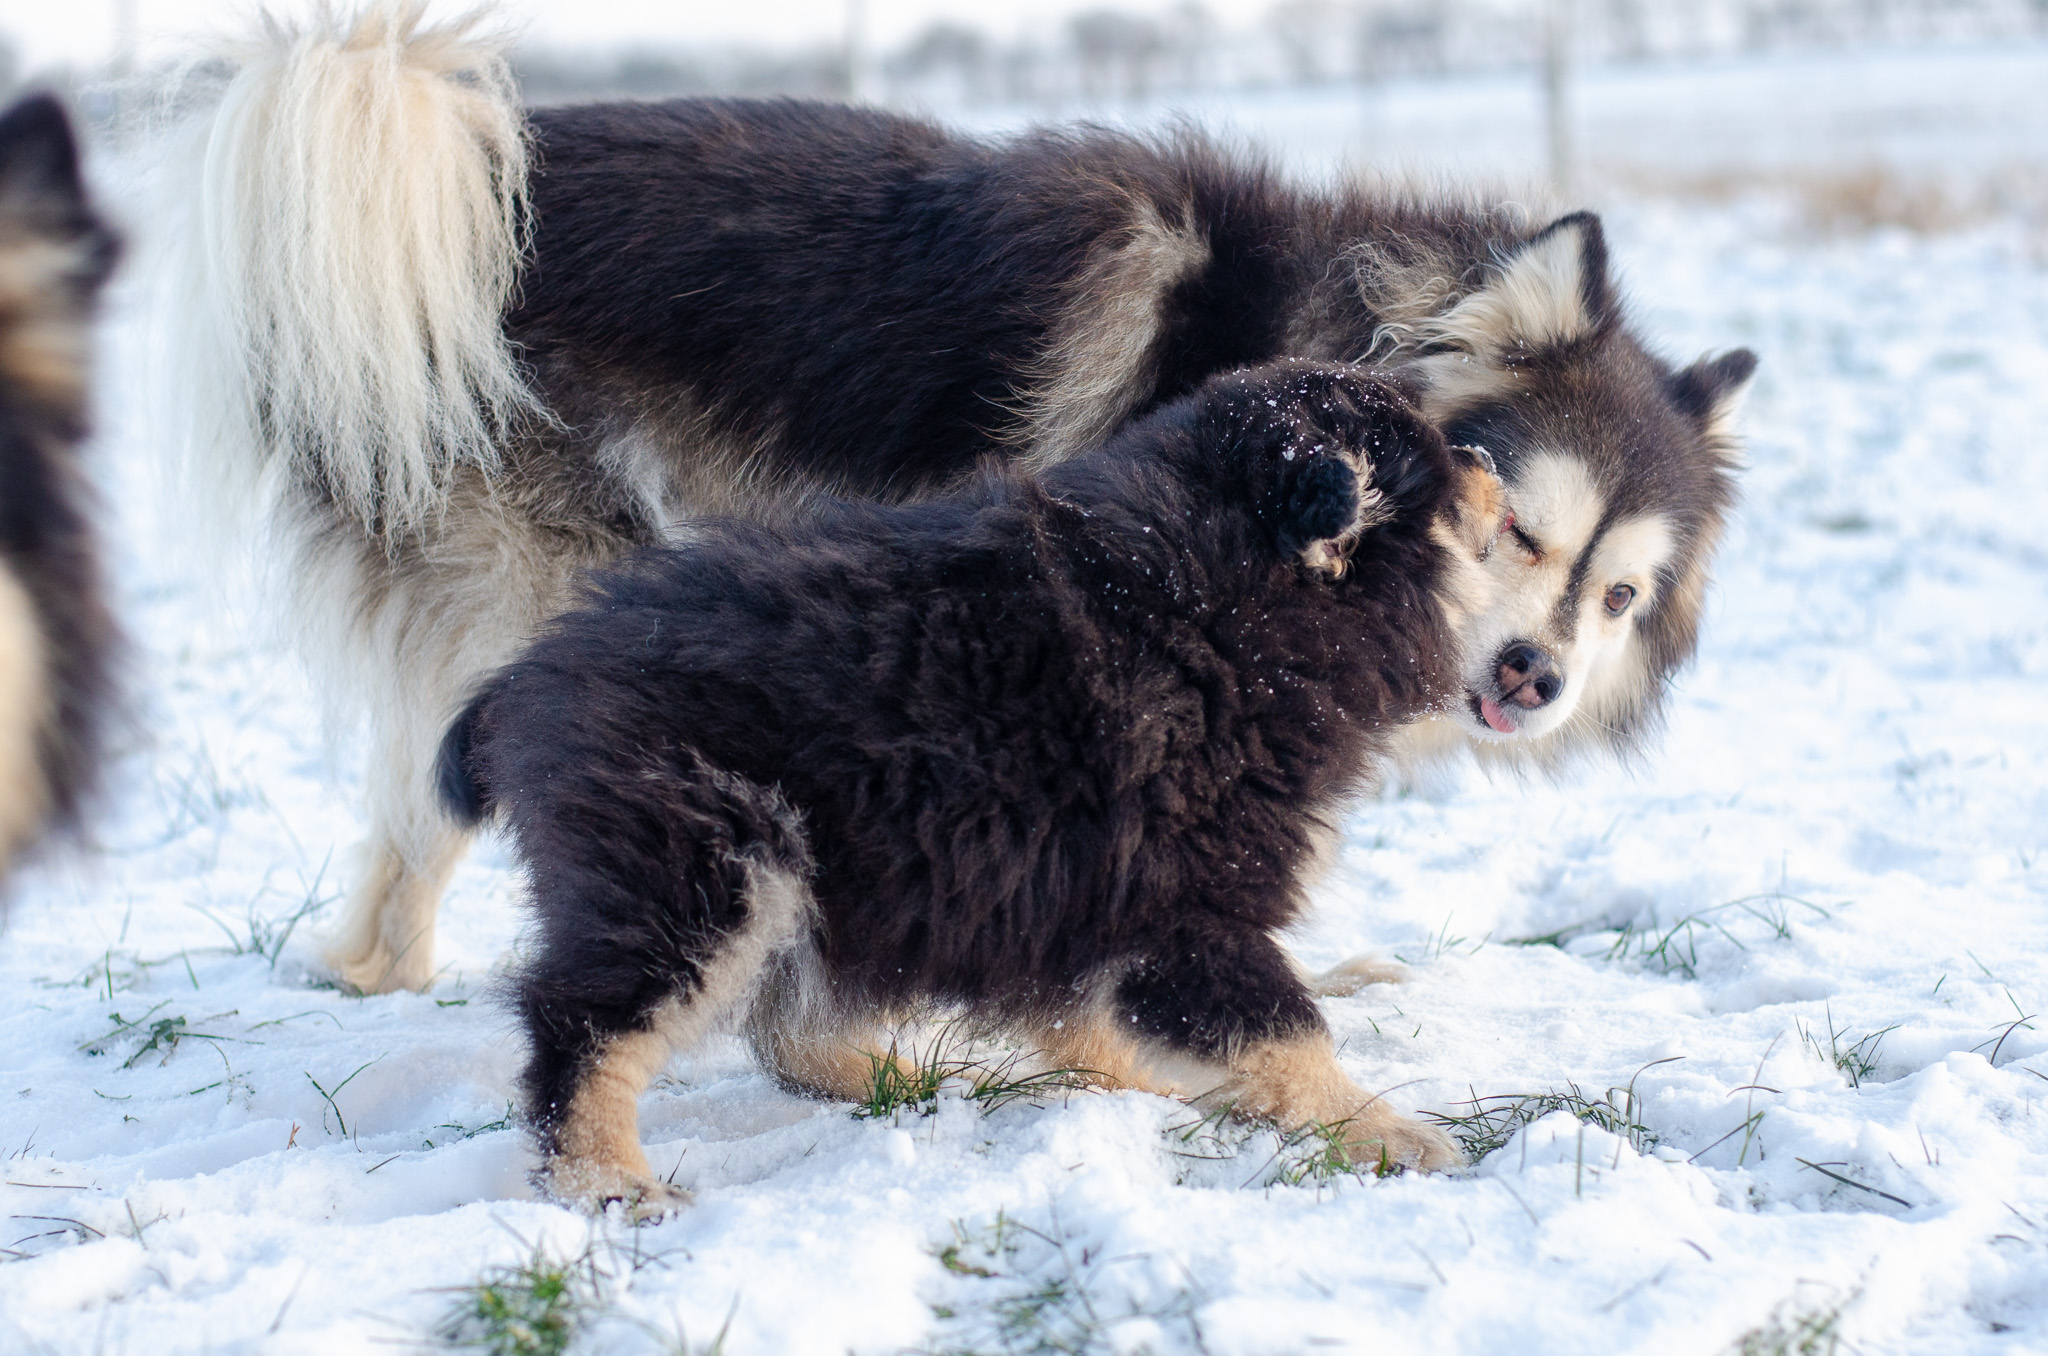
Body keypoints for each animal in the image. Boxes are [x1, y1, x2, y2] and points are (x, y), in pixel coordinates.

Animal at [165, 3, 1754, 993]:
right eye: (1517, 522)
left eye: (1619, 595)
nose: (1535, 677)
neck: (1311, 356)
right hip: (572, 578)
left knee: (410, 818)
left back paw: (384, 977)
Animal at [438, 361, 1508, 1211]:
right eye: (1439, 465)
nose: (1493, 467)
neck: (1221, 607)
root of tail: (524, 677)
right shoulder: (1185, 902)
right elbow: (1288, 1032)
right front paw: (1391, 1134)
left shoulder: (1073, 891)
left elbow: (1090, 1024)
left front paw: (1149, 1094)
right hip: (705, 858)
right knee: (585, 1023)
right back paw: (608, 1181)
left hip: (826, 873)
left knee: (786, 1022)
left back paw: (902, 1082)